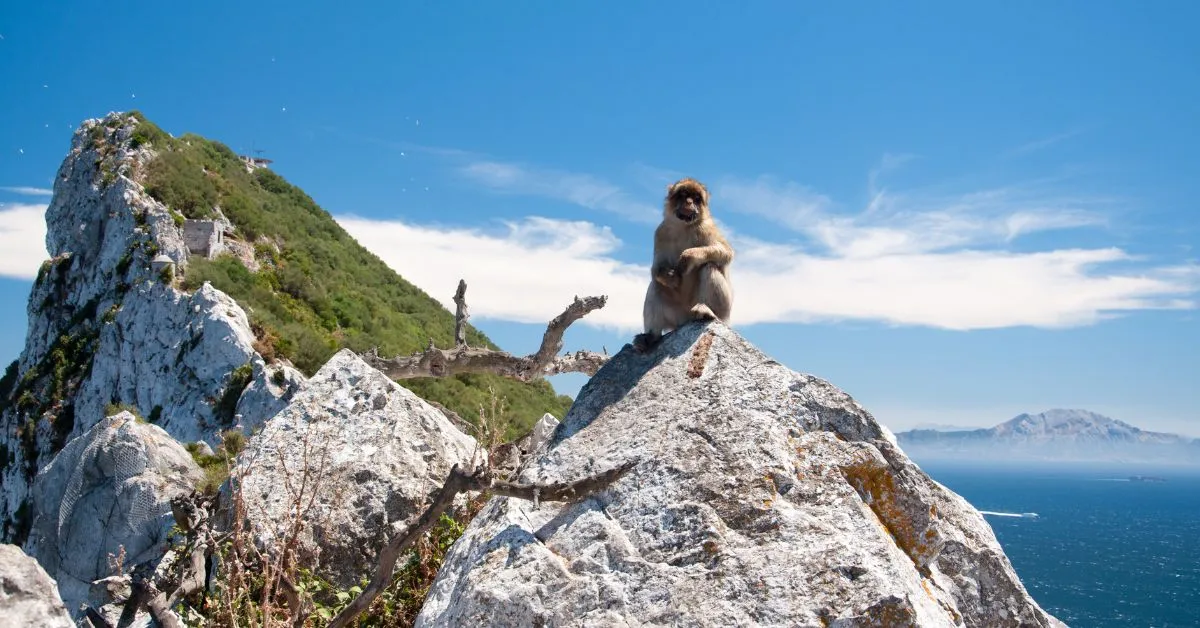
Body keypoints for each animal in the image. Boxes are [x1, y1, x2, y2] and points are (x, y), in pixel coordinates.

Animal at [633, 177, 734, 353]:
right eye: (683, 195)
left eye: (696, 198)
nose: (689, 202)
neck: (683, 227)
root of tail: (684, 320)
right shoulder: (660, 232)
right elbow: (656, 269)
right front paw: (669, 276)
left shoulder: (707, 228)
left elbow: (726, 253)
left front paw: (689, 257)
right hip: (675, 313)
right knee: (656, 285)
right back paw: (651, 337)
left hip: (722, 310)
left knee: (709, 266)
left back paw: (708, 311)